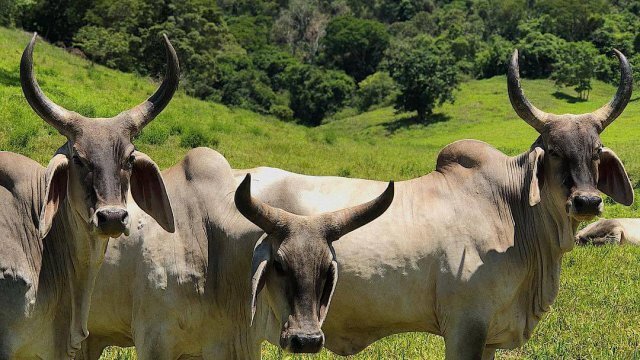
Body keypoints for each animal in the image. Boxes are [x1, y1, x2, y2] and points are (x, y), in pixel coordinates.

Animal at [232, 49, 632, 358]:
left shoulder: (489, 335)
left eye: (596, 152)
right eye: (554, 151)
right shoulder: (465, 326)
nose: (587, 201)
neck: (512, 212)